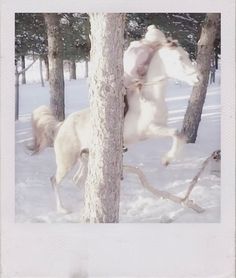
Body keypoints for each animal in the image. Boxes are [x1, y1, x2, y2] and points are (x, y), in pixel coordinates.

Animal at [29, 39, 199, 213]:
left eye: (186, 56)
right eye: (179, 58)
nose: (197, 78)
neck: (152, 98)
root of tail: (60, 126)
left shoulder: (158, 128)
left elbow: (180, 135)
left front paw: (170, 158)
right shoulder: (150, 130)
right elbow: (176, 133)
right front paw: (167, 160)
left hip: (85, 158)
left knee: (78, 181)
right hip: (67, 161)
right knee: (54, 180)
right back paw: (62, 209)